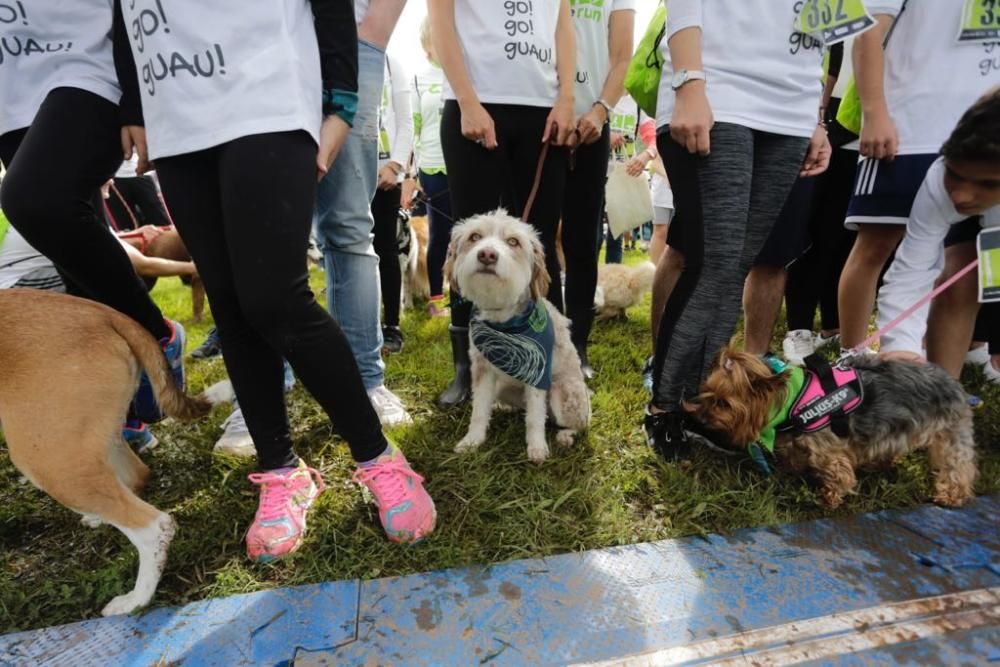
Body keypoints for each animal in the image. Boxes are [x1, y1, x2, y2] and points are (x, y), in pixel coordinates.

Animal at [0, 290, 217, 616]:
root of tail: (104, 313)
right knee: (132, 478)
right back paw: (98, 517)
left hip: (48, 459)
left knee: (155, 526)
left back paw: (136, 600)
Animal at [444, 211, 588, 462]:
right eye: (475, 237)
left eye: (513, 241)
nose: (487, 254)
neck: (503, 320)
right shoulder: (482, 370)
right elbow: (479, 411)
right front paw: (472, 441)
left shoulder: (537, 372)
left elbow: (535, 417)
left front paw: (537, 447)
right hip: (503, 385)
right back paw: (505, 407)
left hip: (563, 391)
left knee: (578, 424)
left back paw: (565, 435)